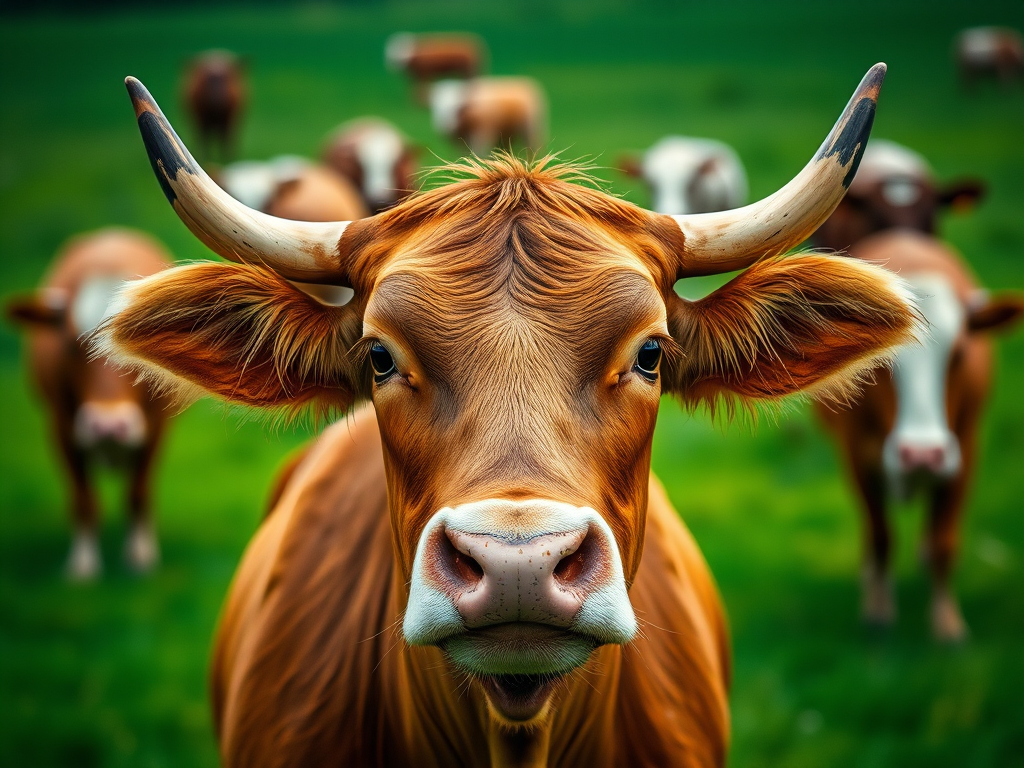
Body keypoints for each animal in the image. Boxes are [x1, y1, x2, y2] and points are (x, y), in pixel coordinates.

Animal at [6, 229, 174, 580]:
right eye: (70, 344)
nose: (108, 425)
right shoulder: (60, 427)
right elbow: (83, 499)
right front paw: (82, 566)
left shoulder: (157, 427)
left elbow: (138, 492)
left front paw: (140, 558)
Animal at [817, 230, 1023, 641]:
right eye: (880, 360)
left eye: (960, 355)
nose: (922, 455)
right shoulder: (856, 456)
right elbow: (880, 535)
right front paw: (878, 610)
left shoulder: (965, 451)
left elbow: (945, 542)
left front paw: (947, 622)